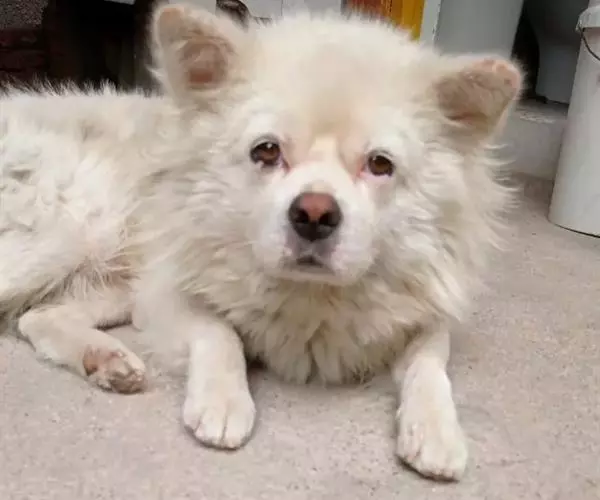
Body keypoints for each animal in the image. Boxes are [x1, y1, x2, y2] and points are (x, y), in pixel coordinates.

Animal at [0, 3, 521, 481]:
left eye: (379, 164)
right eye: (266, 151)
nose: (314, 215)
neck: (312, 299)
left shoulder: (421, 314)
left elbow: (429, 362)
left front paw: (436, 431)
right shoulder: (167, 293)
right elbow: (219, 332)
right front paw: (223, 402)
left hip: (109, 275)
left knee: (37, 317)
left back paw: (106, 360)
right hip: (79, 230)